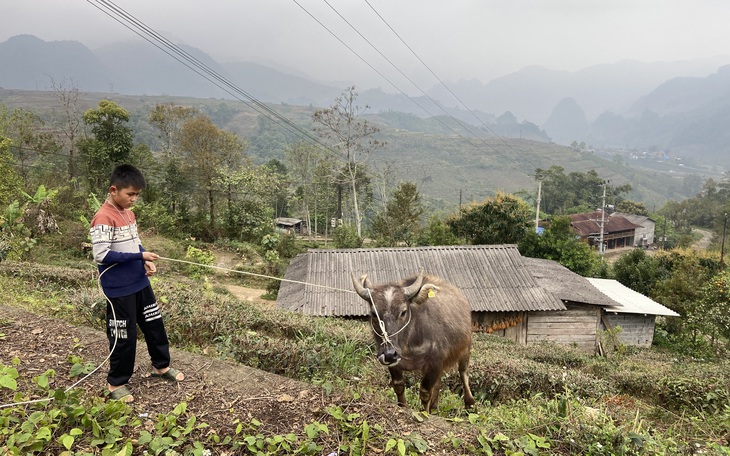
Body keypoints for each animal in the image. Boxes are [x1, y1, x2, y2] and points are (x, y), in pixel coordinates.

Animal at [352, 270, 474, 414]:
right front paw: (403, 406)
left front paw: (425, 413)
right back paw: (434, 407)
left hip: (466, 349)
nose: (389, 354)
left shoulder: (435, 362)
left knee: (463, 373)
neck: (408, 345)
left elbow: (425, 392)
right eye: (374, 314)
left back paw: (470, 404)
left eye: (403, 312)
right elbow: (399, 386)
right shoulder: (395, 363)